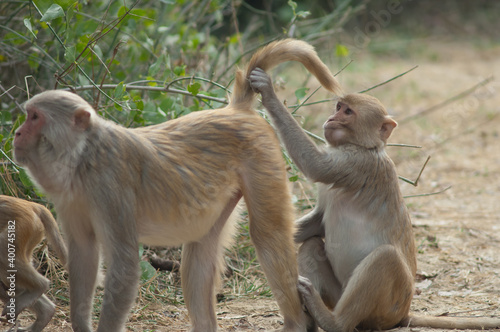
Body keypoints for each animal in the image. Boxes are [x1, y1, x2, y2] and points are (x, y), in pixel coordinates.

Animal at [12, 39, 344, 332]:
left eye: (34, 117)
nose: (16, 133)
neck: (84, 157)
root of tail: (235, 110)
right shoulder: (71, 199)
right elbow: (83, 255)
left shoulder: (110, 189)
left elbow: (124, 266)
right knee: (200, 252)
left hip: (262, 158)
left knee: (267, 234)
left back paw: (297, 321)